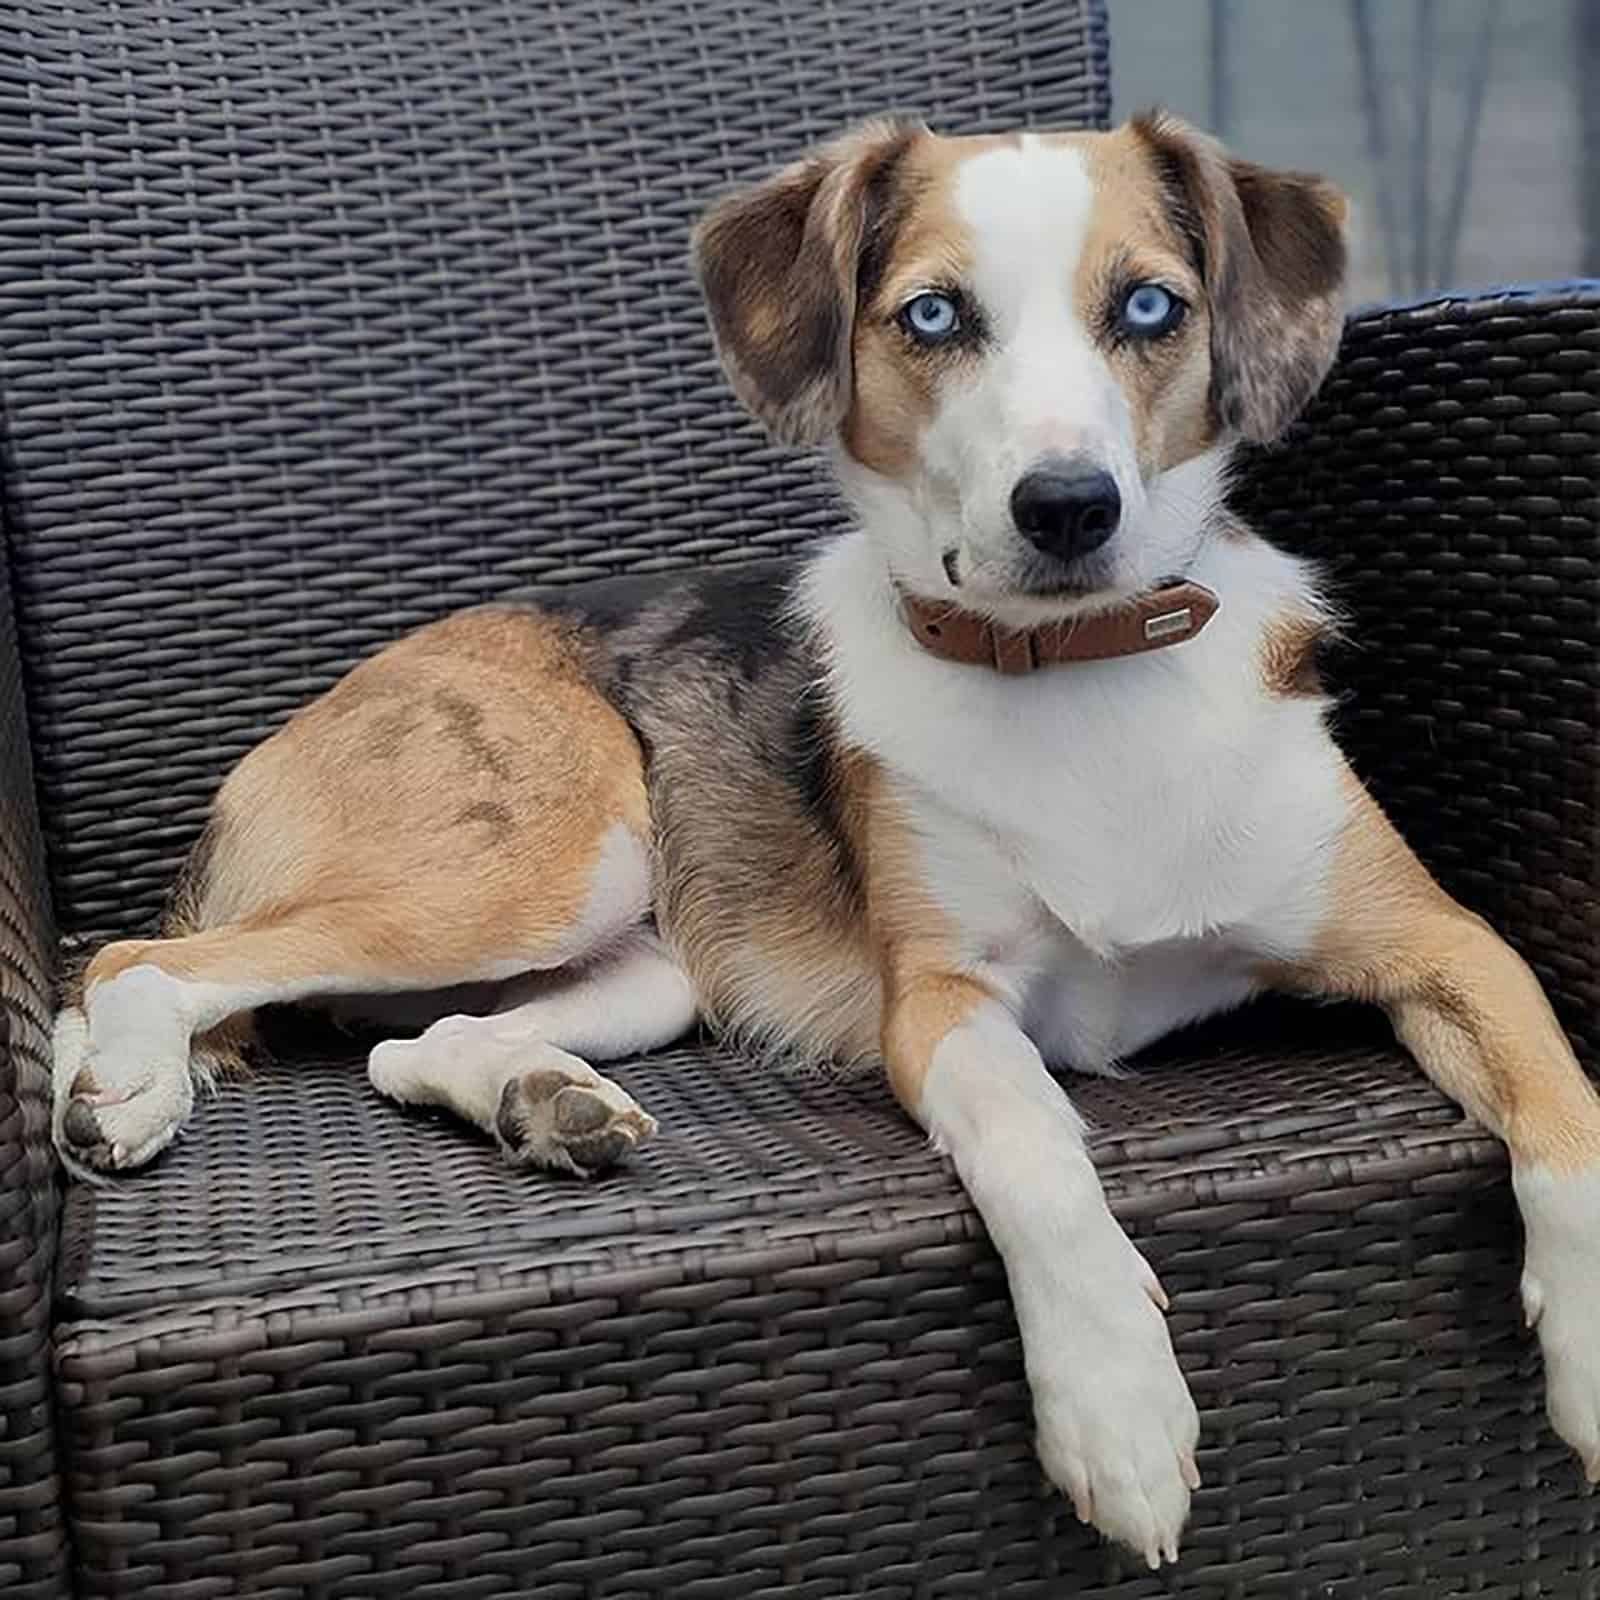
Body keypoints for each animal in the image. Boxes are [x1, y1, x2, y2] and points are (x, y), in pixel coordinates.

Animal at [53, 112, 1600, 1561]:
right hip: (552, 853)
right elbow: (1037, 1153)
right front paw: (1114, 1405)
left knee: (411, 1041)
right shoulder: (944, 1006)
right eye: (934, 317)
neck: (1079, 674)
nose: (1068, 510)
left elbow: (1566, 1111)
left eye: (1152, 306)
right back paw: (128, 1093)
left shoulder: (1446, 941)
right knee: (135, 959)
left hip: (649, 964)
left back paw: (541, 1103)